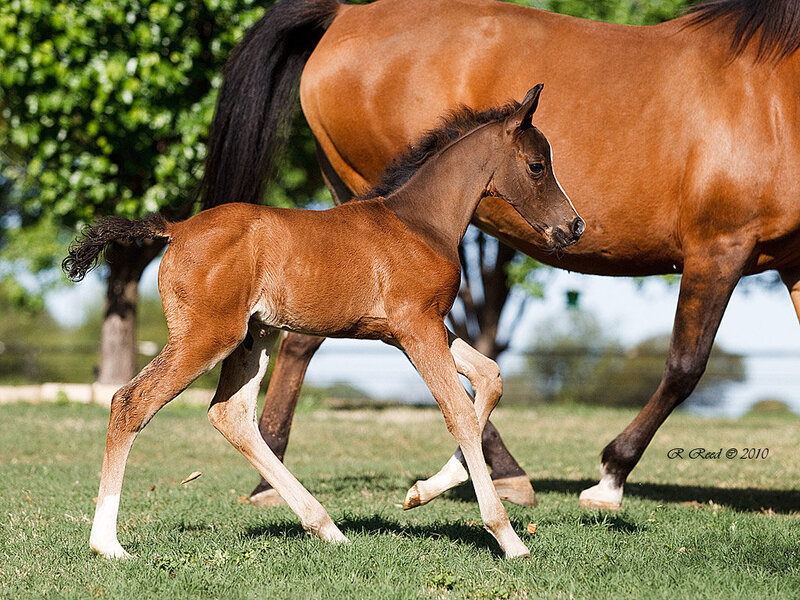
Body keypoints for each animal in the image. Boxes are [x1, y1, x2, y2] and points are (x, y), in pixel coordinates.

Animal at [65, 86, 584, 559]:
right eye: (537, 166)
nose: (574, 227)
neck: (419, 223)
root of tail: (175, 229)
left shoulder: (416, 330)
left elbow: (490, 378)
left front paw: (420, 492)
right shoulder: (416, 327)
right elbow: (458, 410)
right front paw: (508, 537)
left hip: (255, 337)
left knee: (231, 415)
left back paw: (326, 527)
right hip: (207, 336)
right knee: (131, 402)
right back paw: (107, 544)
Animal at [199, 0, 800, 512]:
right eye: (537, 165)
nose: (575, 225)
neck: (774, 94)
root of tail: (346, 14)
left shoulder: (790, 263)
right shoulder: (720, 247)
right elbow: (684, 366)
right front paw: (609, 478)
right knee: (320, 342)